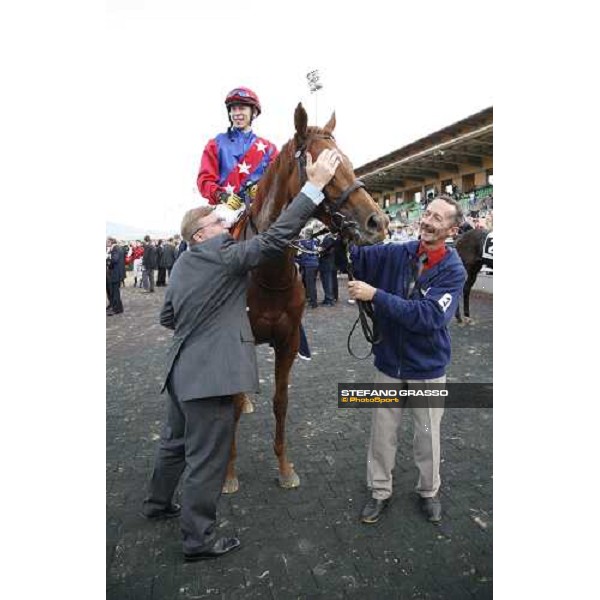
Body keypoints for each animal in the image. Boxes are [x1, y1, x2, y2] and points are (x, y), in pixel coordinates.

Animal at [223, 105, 386, 494]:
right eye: (324, 167)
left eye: (348, 162)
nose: (377, 222)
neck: (265, 271)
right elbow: (231, 405)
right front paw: (229, 473)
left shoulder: (288, 340)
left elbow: (281, 401)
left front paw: (284, 467)